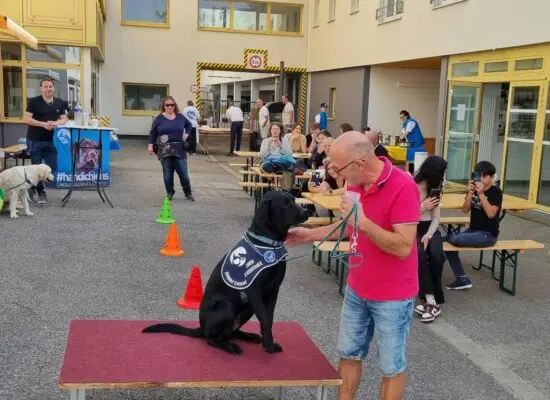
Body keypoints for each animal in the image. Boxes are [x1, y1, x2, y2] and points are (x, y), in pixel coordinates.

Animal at [143, 191, 310, 356]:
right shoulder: (253, 290)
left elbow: (269, 319)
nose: (306, 211)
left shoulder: (273, 290)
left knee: (230, 333)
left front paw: (267, 343)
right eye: (285, 204)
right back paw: (230, 347)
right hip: (227, 307)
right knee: (212, 339)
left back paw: (248, 336)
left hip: (247, 308)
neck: (267, 242)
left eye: (294, 200)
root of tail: (201, 327)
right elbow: (265, 318)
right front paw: (268, 346)